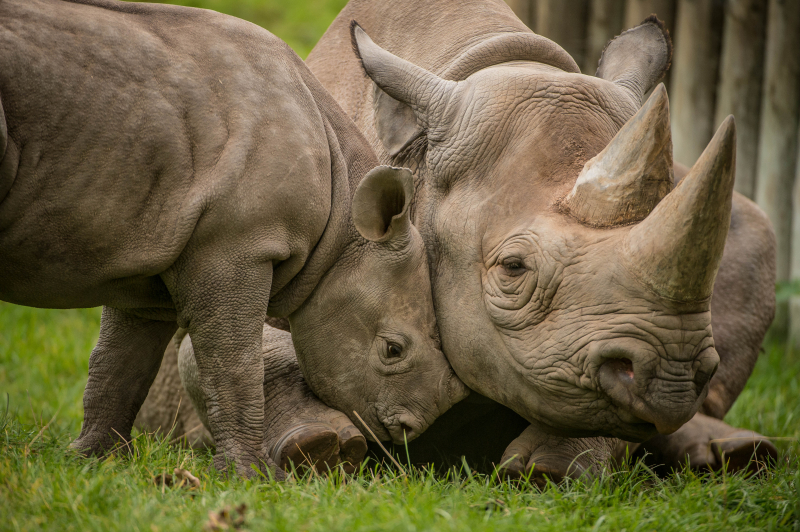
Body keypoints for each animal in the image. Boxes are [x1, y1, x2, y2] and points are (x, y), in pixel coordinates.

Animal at [0, 0, 468, 477]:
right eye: (393, 350)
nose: (416, 427)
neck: (340, 224)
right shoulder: (236, 244)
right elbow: (234, 362)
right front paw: (253, 476)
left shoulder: (152, 249)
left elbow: (119, 361)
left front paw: (96, 462)